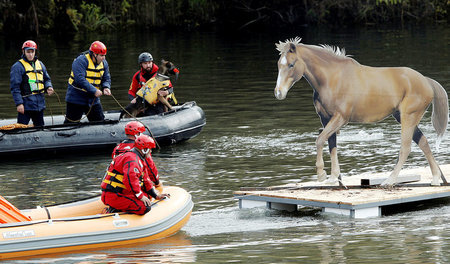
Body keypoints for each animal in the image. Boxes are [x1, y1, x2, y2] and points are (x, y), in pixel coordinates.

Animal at [274, 37, 446, 187]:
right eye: (279, 65)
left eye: (291, 65)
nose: (278, 93)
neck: (331, 79)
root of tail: (426, 81)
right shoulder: (326, 119)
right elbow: (331, 145)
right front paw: (333, 177)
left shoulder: (340, 118)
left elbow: (320, 140)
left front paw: (321, 174)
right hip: (404, 118)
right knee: (423, 143)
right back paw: (435, 179)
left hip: (408, 118)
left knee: (405, 148)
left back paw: (389, 181)